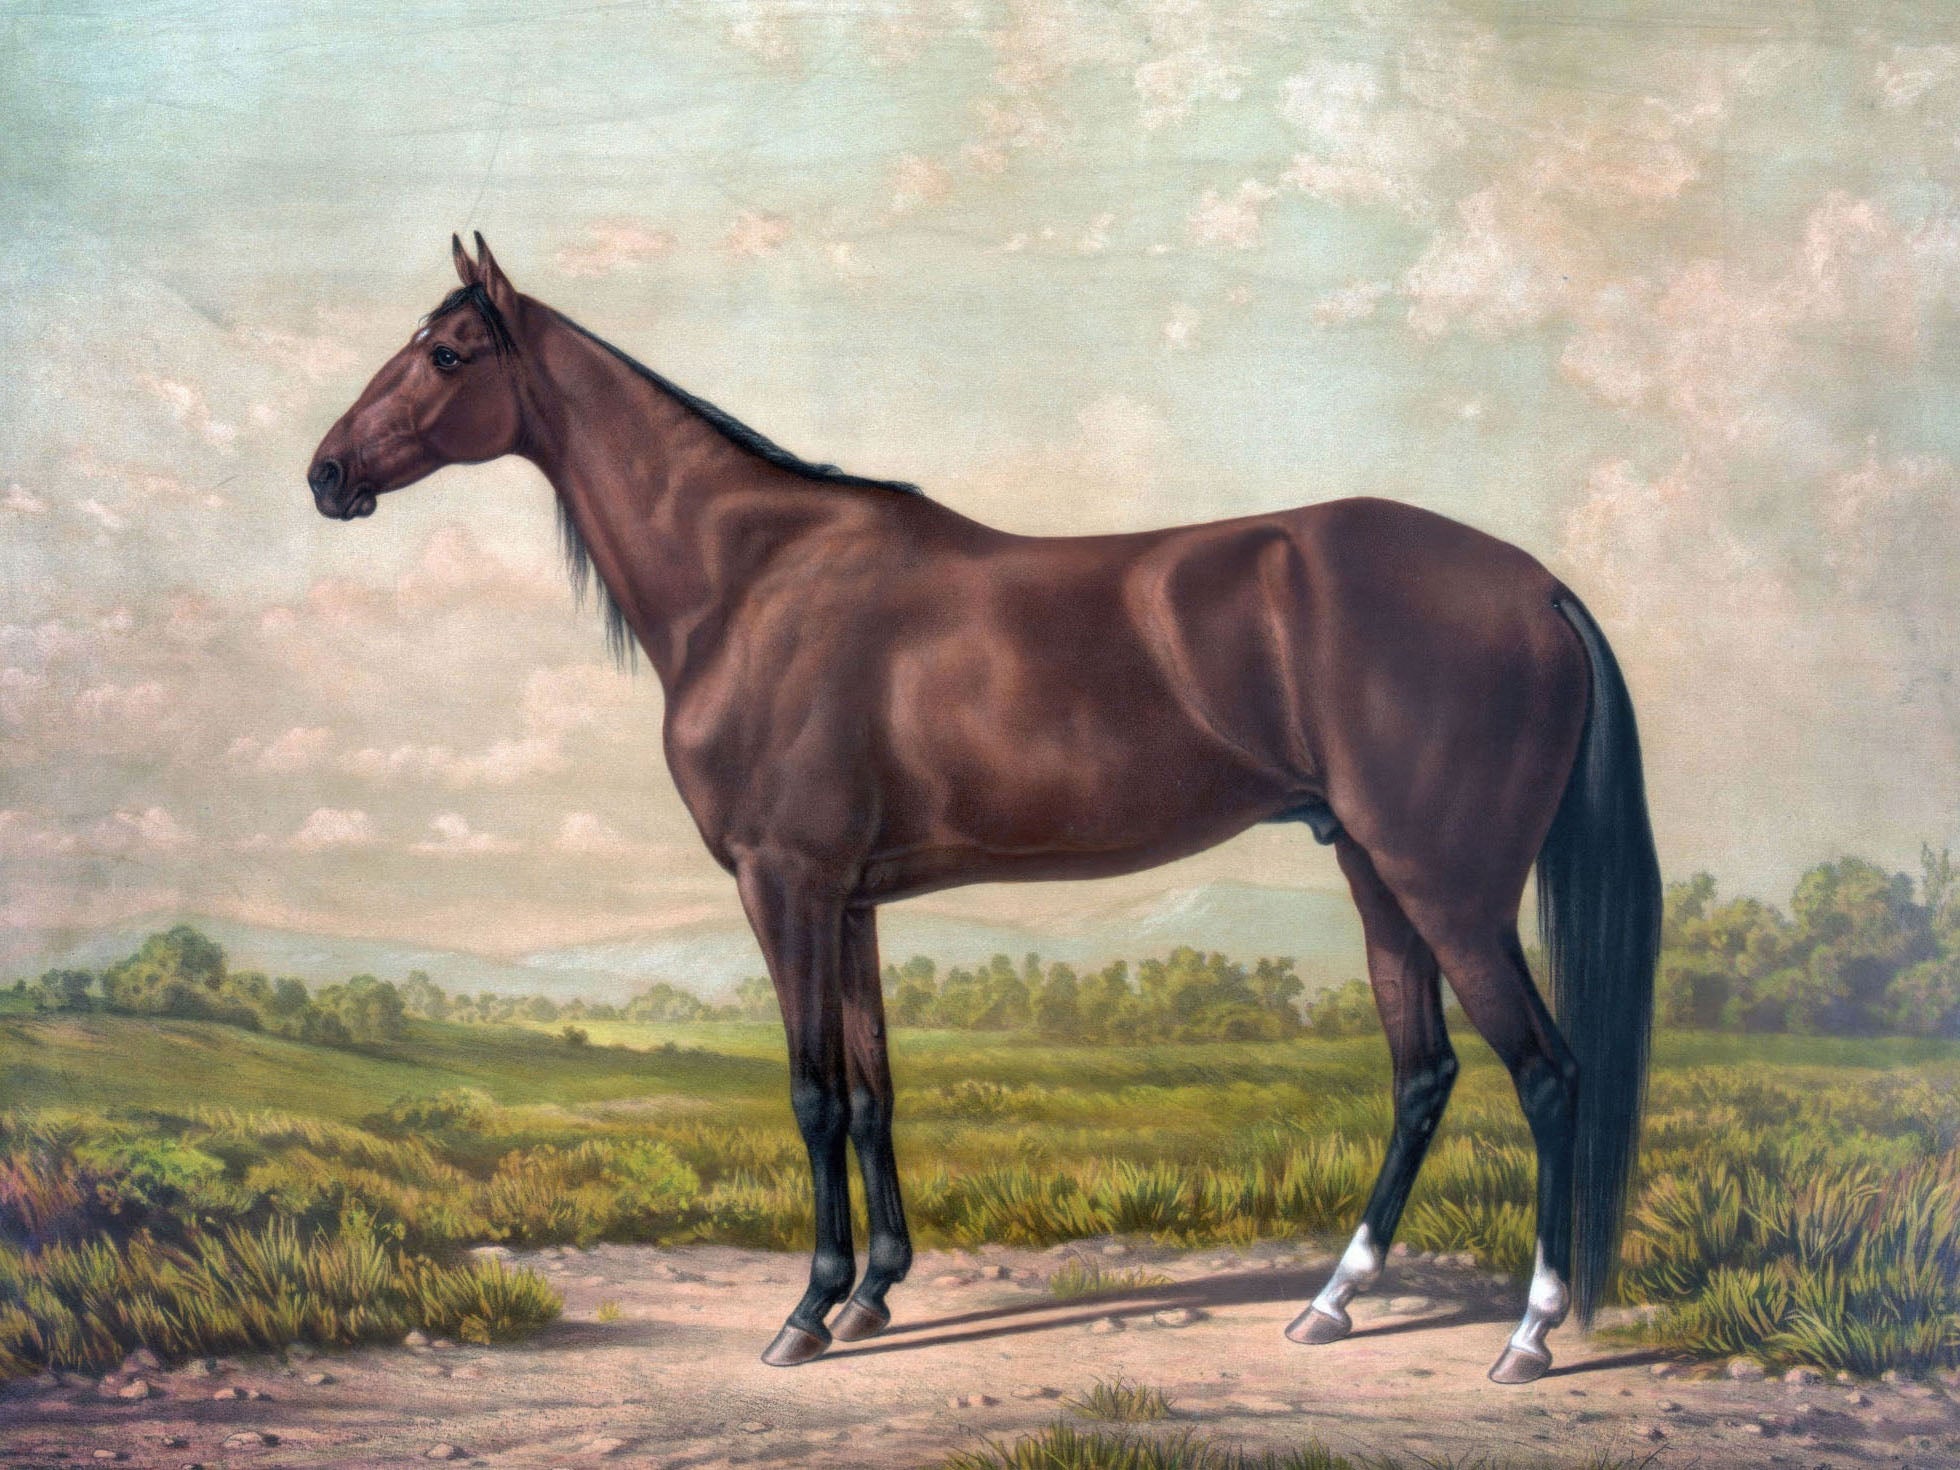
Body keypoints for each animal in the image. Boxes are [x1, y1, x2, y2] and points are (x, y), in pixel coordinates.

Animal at [308, 234, 1661, 1384]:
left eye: (447, 353)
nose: (326, 474)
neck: (752, 581)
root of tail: (1535, 587)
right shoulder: (848, 900)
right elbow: (870, 1091)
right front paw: (871, 1293)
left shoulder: (783, 883)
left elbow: (809, 1094)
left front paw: (807, 1313)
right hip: (1378, 875)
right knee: (1422, 1075)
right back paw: (1330, 1303)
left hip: (1450, 888)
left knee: (1546, 1075)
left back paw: (1529, 1335)